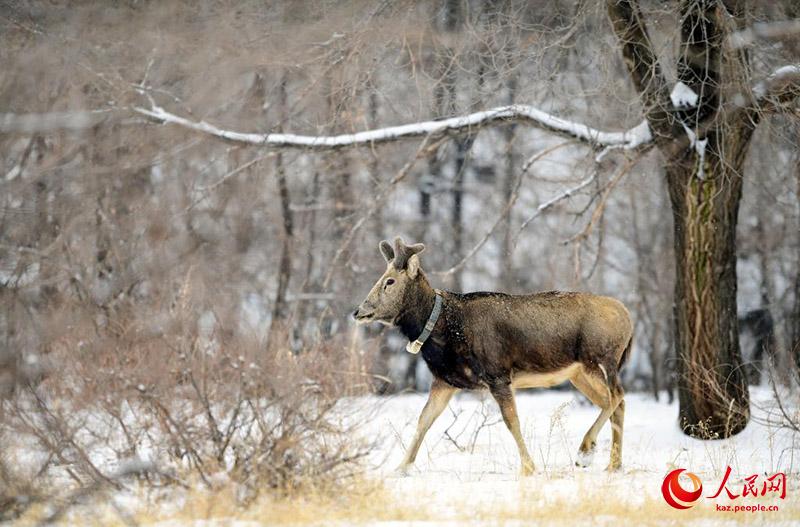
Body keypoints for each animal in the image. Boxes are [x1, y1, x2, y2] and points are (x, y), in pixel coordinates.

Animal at [354, 237, 636, 476]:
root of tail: (629, 320)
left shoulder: (497, 373)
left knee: (617, 395)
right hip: (579, 373)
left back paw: (585, 452)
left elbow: (511, 421)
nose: (359, 311)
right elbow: (424, 420)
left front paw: (529, 468)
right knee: (615, 401)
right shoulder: (445, 380)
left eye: (390, 281)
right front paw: (400, 467)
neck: (442, 328)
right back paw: (613, 464)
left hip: (600, 357)